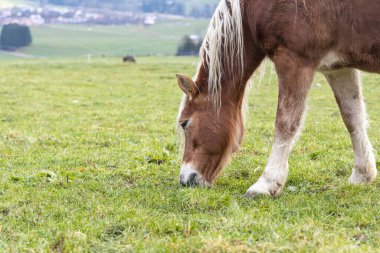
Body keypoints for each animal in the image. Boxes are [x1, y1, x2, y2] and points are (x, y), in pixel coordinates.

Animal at [175, 0, 378, 197]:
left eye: (185, 123)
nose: (185, 179)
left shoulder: (294, 60)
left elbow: (285, 123)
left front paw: (265, 184)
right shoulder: (338, 67)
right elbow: (352, 117)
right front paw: (362, 174)